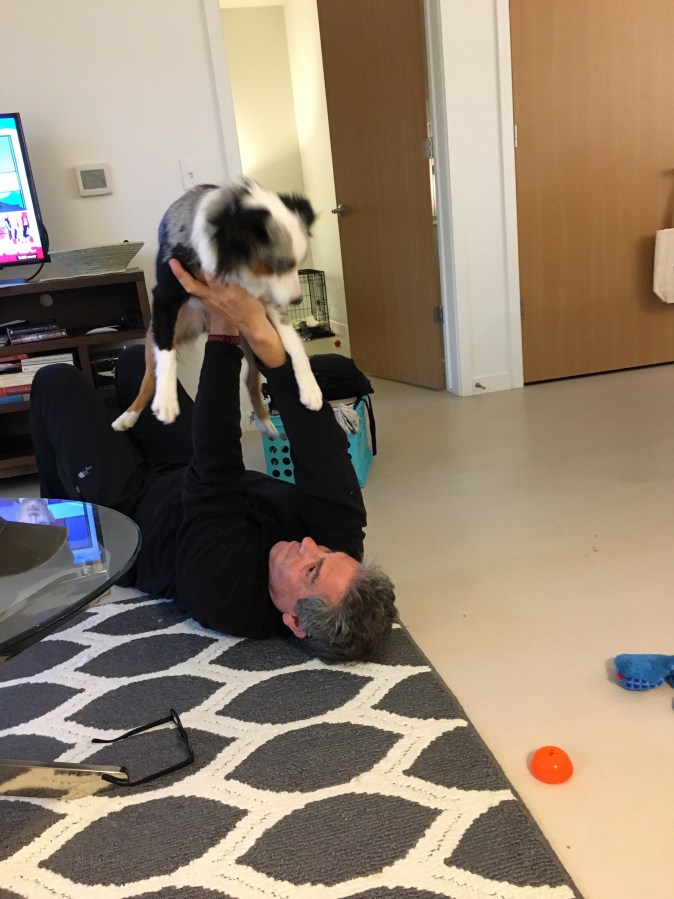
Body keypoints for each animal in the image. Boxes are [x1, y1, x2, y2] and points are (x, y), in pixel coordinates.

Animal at [111, 179, 322, 437]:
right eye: (278, 266)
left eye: (297, 264)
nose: (297, 300)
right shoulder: (165, 297)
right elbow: (166, 355)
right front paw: (167, 401)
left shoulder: (266, 300)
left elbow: (294, 343)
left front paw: (310, 388)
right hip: (155, 332)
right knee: (149, 377)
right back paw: (128, 417)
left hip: (250, 341)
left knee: (250, 380)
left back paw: (264, 421)